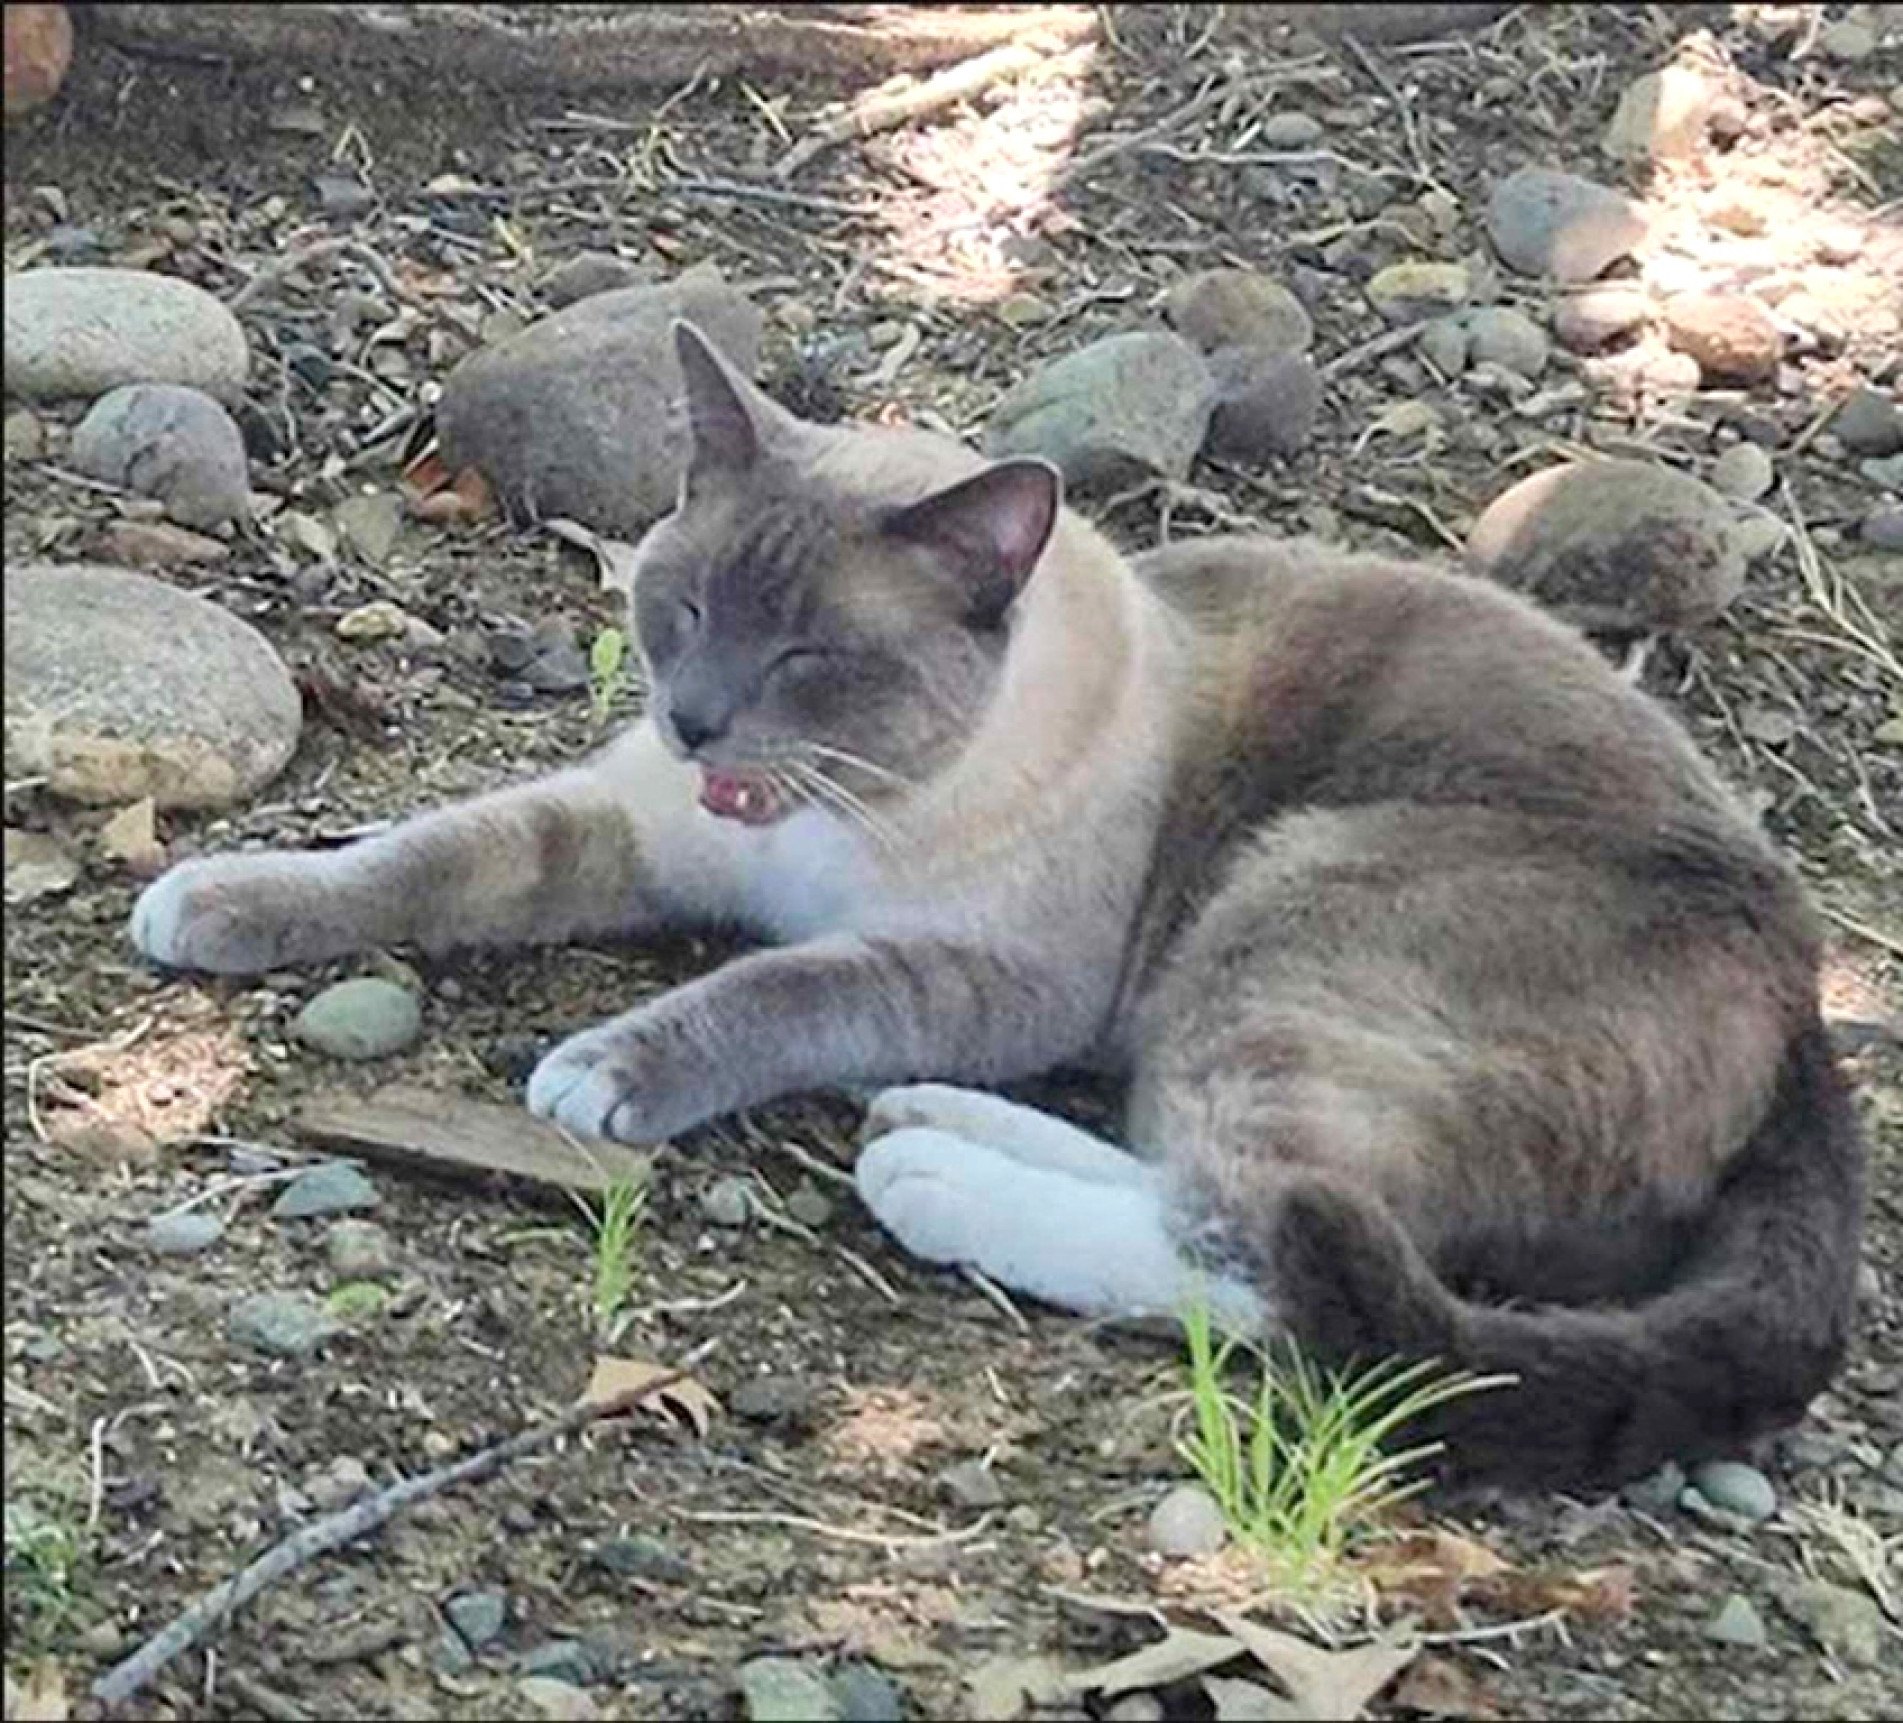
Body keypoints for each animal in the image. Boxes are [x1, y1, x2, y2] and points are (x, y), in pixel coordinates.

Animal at [130, 323, 1857, 1492]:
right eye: (678, 608)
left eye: (806, 656)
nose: (692, 719)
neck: (811, 822)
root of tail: (1802, 993)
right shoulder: (630, 823)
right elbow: (419, 858)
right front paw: (209, 900)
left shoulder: (975, 972)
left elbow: (767, 993)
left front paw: (605, 1071)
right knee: (1220, 1185)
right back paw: (929, 1125)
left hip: (1284, 914)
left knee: (1276, 1256)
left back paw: (930, 1176)